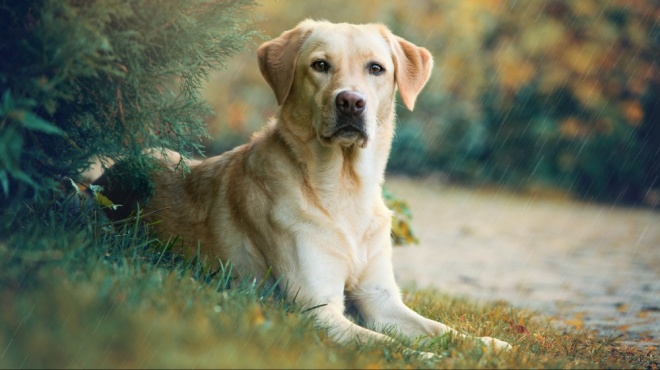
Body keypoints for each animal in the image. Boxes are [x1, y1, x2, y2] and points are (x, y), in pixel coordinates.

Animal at [95, 19, 512, 352]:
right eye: (320, 65)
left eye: (376, 68)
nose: (351, 102)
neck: (343, 188)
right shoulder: (317, 308)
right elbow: (385, 344)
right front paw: (427, 358)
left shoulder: (381, 299)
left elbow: (440, 329)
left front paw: (487, 344)